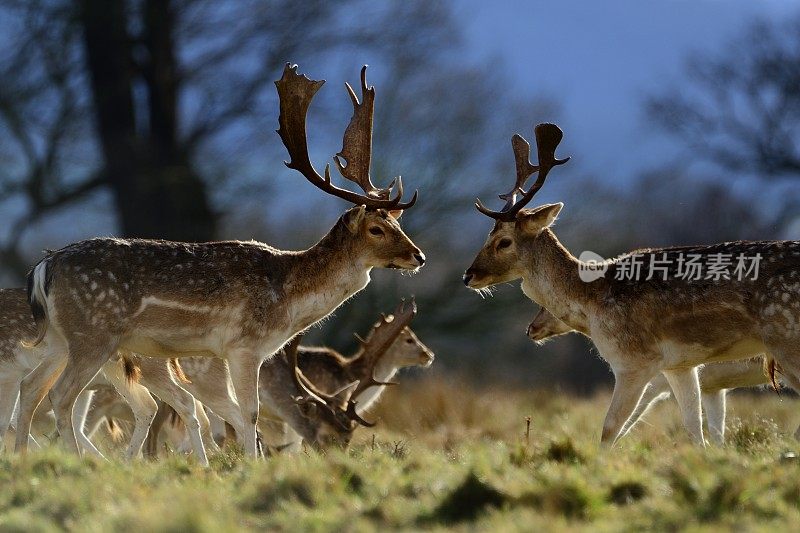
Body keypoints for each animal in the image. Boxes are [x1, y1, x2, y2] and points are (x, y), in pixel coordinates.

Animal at [18, 63, 424, 458]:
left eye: (397, 223)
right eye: (376, 229)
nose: (418, 256)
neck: (286, 299)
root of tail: (43, 268)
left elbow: (235, 417)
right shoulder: (244, 346)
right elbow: (249, 414)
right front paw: (252, 465)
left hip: (58, 339)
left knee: (30, 388)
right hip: (93, 336)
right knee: (60, 396)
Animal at [524, 306, 788, 442]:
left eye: (547, 305)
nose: (531, 329)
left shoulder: (657, 381)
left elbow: (626, 420)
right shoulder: (713, 387)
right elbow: (716, 430)